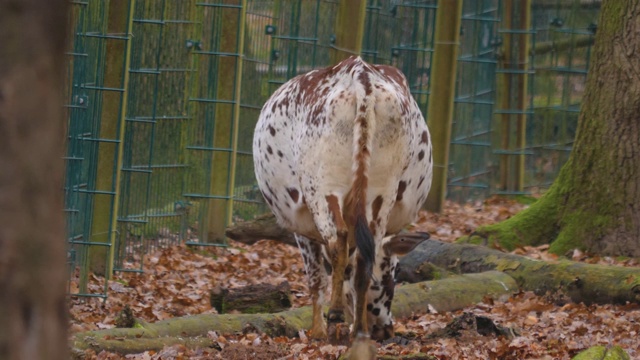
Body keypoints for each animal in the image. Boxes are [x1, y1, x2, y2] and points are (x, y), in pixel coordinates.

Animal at [252, 57, 432, 344]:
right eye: (392, 277)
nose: (386, 329)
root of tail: (360, 75)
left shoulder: (302, 226)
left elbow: (316, 277)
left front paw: (318, 330)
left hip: (322, 188)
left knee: (338, 241)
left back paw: (335, 317)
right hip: (381, 191)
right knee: (361, 256)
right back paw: (357, 328)